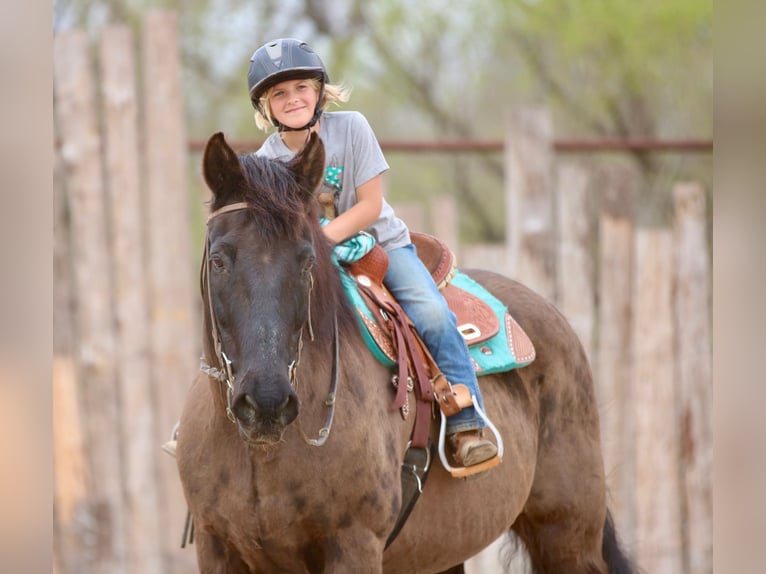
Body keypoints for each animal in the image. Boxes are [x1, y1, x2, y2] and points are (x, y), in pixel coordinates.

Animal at [175, 131, 636, 573]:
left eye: (306, 262)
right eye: (219, 260)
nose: (266, 402)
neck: (263, 455)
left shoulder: (355, 545)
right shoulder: (217, 549)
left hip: (567, 536)